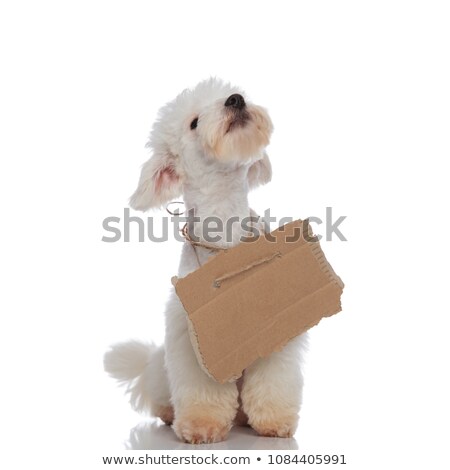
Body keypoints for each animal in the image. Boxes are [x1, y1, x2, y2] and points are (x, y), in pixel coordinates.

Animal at [104, 78, 308, 444]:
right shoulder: (190, 338)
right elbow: (202, 388)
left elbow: (273, 380)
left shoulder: (277, 328)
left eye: (232, 94)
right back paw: (169, 413)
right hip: (162, 367)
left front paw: (275, 422)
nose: (236, 100)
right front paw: (200, 426)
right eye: (194, 122)